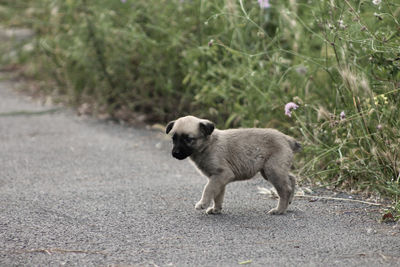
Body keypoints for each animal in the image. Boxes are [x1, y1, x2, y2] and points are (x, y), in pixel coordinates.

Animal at [165, 115, 300, 216]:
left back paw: (279, 210)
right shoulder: (218, 178)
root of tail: (286, 138)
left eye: (188, 139)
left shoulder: (221, 175)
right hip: (271, 170)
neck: (209, 145)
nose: (175, 153)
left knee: (285, 189)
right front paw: (216, 209)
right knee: (291, 178)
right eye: (174, 138)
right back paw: (289, 201)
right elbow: (217, 195)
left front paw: (203, 203)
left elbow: (208, 189)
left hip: (272, 170)